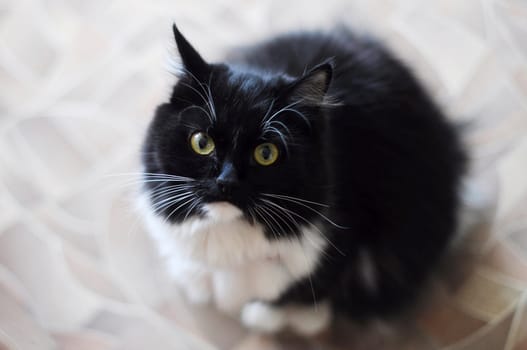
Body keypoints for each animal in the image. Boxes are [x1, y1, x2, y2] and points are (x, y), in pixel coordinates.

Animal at [138, 23, 468, 334]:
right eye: (201, 142)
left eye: (266, 153)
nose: (226, 181)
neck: (230, 234)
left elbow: (311, 284)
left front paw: (274, 316)